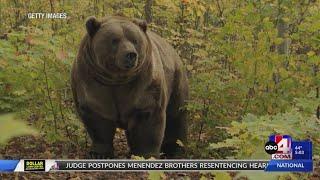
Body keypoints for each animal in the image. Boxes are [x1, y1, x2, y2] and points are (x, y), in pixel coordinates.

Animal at [71, 15, 189, 159]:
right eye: (115, 40)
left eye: (134, 40)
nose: (131, 54)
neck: (117, 79)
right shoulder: (92, 81)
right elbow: (97, 118)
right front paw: (99, 153)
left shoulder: (144, 84)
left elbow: (148, 119)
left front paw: (146, 154)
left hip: (176, 80)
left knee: (176, 115)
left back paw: (174, 150)